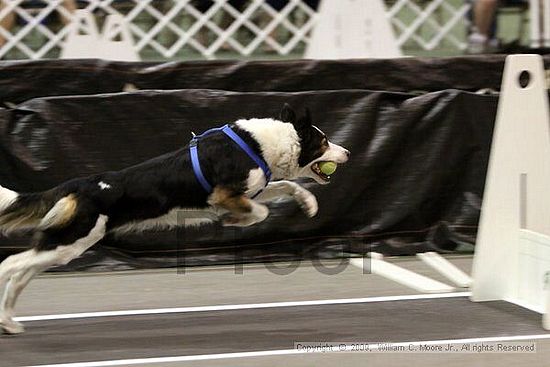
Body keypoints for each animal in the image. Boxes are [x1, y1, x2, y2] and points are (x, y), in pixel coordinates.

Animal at [0, 103, 350, 334]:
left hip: (64, 245)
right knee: (10, 265)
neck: (262, 144)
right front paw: (234, 222)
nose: (347, 153)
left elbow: (286, 186)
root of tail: (77, 185)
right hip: (73, 240)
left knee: (20, 275)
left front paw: (308, 204)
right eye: (324, 142)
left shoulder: (250, 189)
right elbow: (260, 211)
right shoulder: (224, 195)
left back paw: (9, 323)